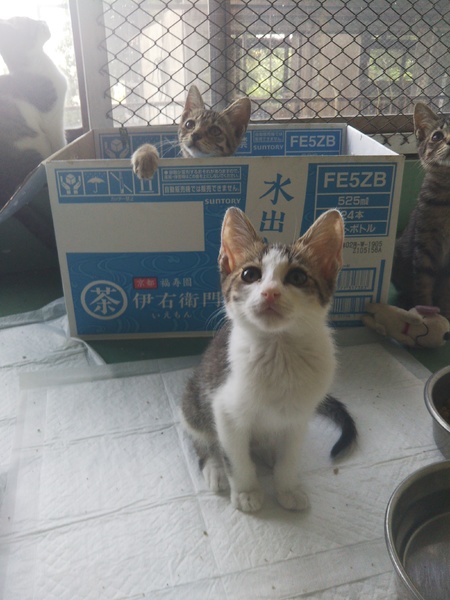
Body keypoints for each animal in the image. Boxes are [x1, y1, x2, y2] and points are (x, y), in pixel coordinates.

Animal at [181, 207, 357, 513]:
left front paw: (287, 487)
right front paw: (247, 491)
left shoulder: (299, 416)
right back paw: (215, 468)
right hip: (194, 398)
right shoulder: (225, 409)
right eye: (250, 274)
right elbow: (235, 456)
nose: (270, 292)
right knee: (202, 439)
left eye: (298, 277)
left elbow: (290, 456)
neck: (279, 350)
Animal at [391, 102, 450, 316]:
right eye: (437, 136)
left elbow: (446, 291)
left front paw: (445, 314)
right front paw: (425, 312)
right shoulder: (424, 243)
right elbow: (423, 283)